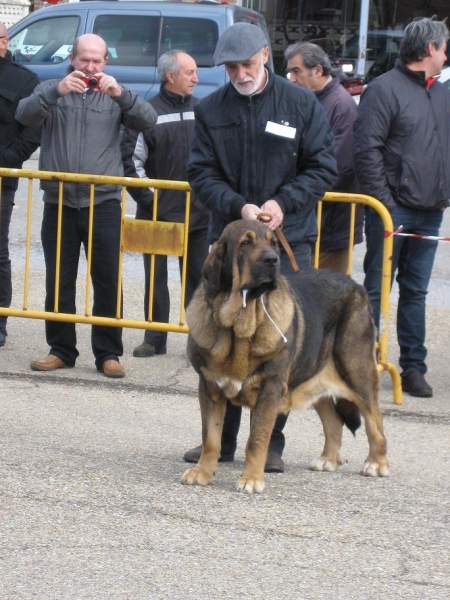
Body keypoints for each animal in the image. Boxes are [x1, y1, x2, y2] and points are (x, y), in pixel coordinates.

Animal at [181, 220, 388, 492]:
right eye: (245, 243)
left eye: (274, 243)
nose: (272, 260)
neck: (240, 325)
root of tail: (356, 286)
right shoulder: (210, 388)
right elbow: (211, 437)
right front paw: (203, 472)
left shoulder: (270, 388)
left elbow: (257, 440)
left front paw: (251, 479)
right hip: (314, 377)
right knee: (334, 420)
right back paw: (328, 459)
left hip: (357, 373)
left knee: (375, 422)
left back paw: (376, 463)